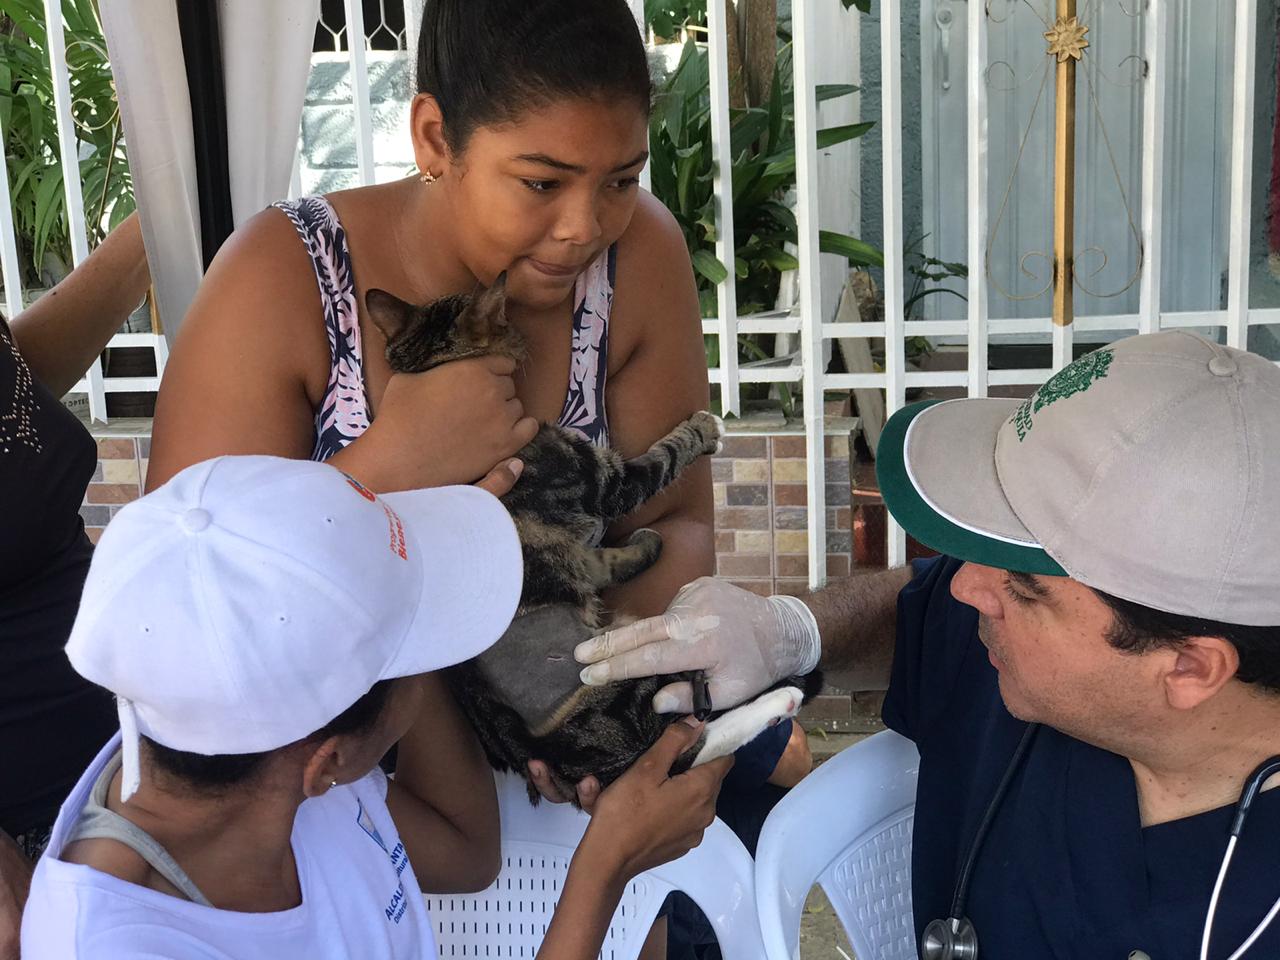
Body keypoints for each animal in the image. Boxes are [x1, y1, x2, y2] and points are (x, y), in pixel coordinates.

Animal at [366, 277, 814, 803]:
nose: (522, 334)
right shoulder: (601, 479)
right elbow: (661, 460)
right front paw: (703, 428)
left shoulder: (579, 549)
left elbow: (606, 559)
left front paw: (647, 544)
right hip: (631, 684)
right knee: (687, 741)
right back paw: (782, 698)